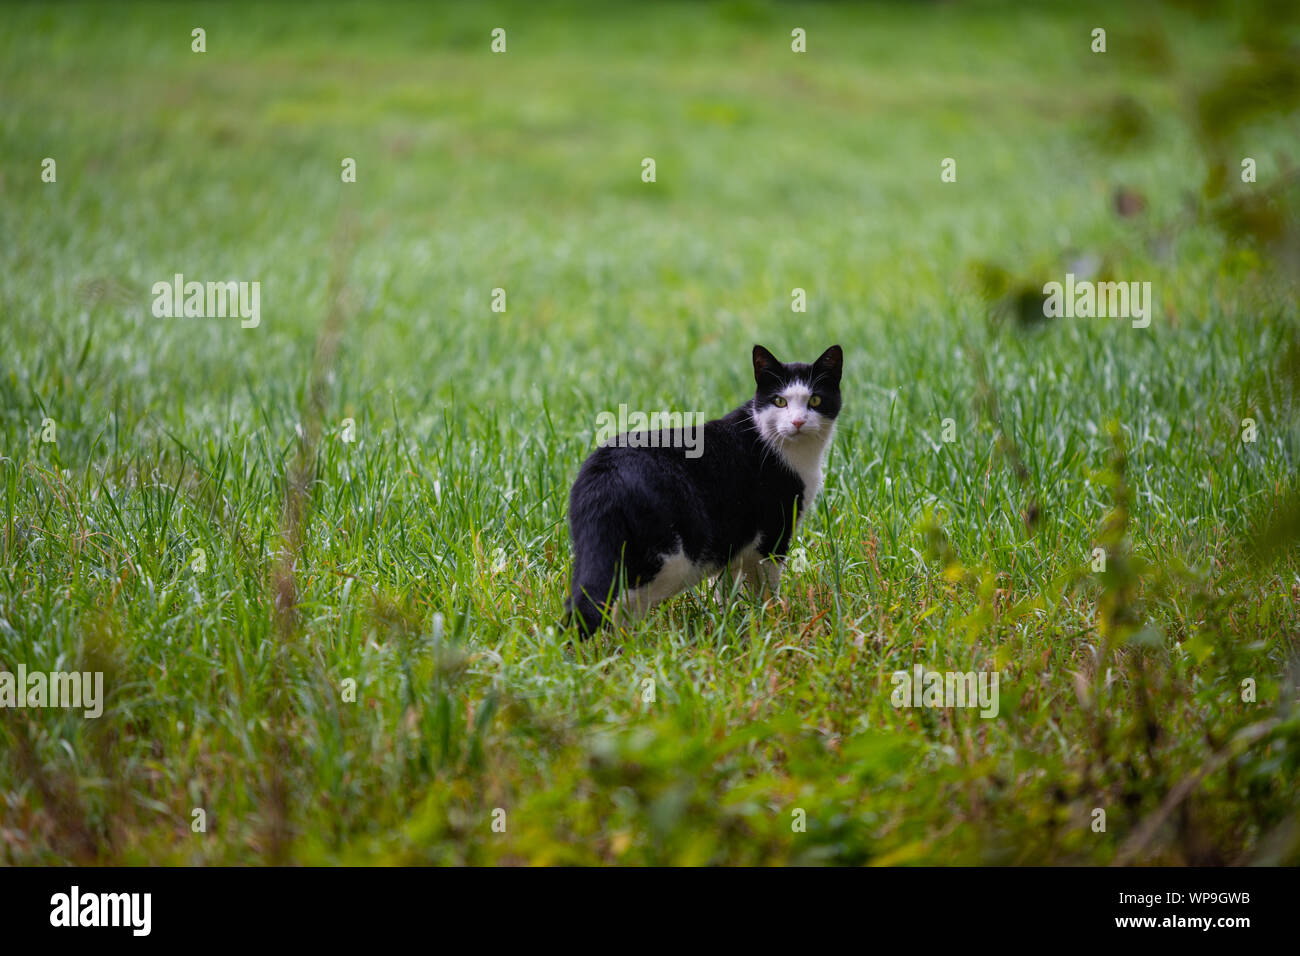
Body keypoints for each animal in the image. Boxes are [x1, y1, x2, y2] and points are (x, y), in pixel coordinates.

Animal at [564, 343, 847, 634]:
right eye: (780, 401)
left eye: (815, 400)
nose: (798, 422)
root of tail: (604, 473)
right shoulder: (773, 534)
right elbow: (766, 588)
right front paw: (774, 622)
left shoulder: (732, 541)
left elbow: (725, 589)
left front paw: (730, 623)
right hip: (670, 558)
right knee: (616, 605)